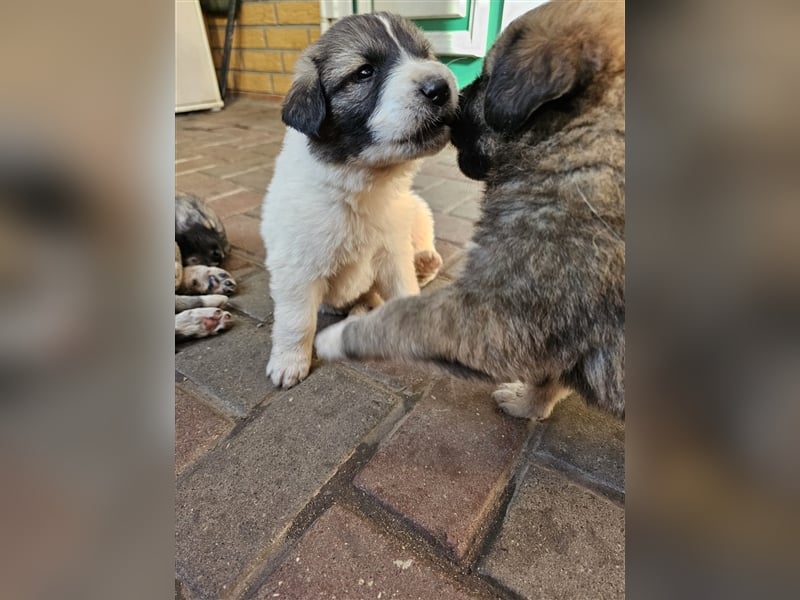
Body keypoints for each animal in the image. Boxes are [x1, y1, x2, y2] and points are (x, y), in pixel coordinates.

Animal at [260, 14, 454, 392]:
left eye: (425, 54)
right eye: (364, 72)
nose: (441, 88)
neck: (362, 185)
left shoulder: (393, 253)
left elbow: (404, 289)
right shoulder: (295, 269)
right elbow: (296, 321)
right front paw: (289, 362)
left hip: (416, 209)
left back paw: (422, 263)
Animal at [316, 1, 628, 422]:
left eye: (487, 78)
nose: (450, 98)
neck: (581, 138)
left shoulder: (495, 317)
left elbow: (401, 319)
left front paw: (336, 338)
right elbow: (552, 375)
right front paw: (529, 403)